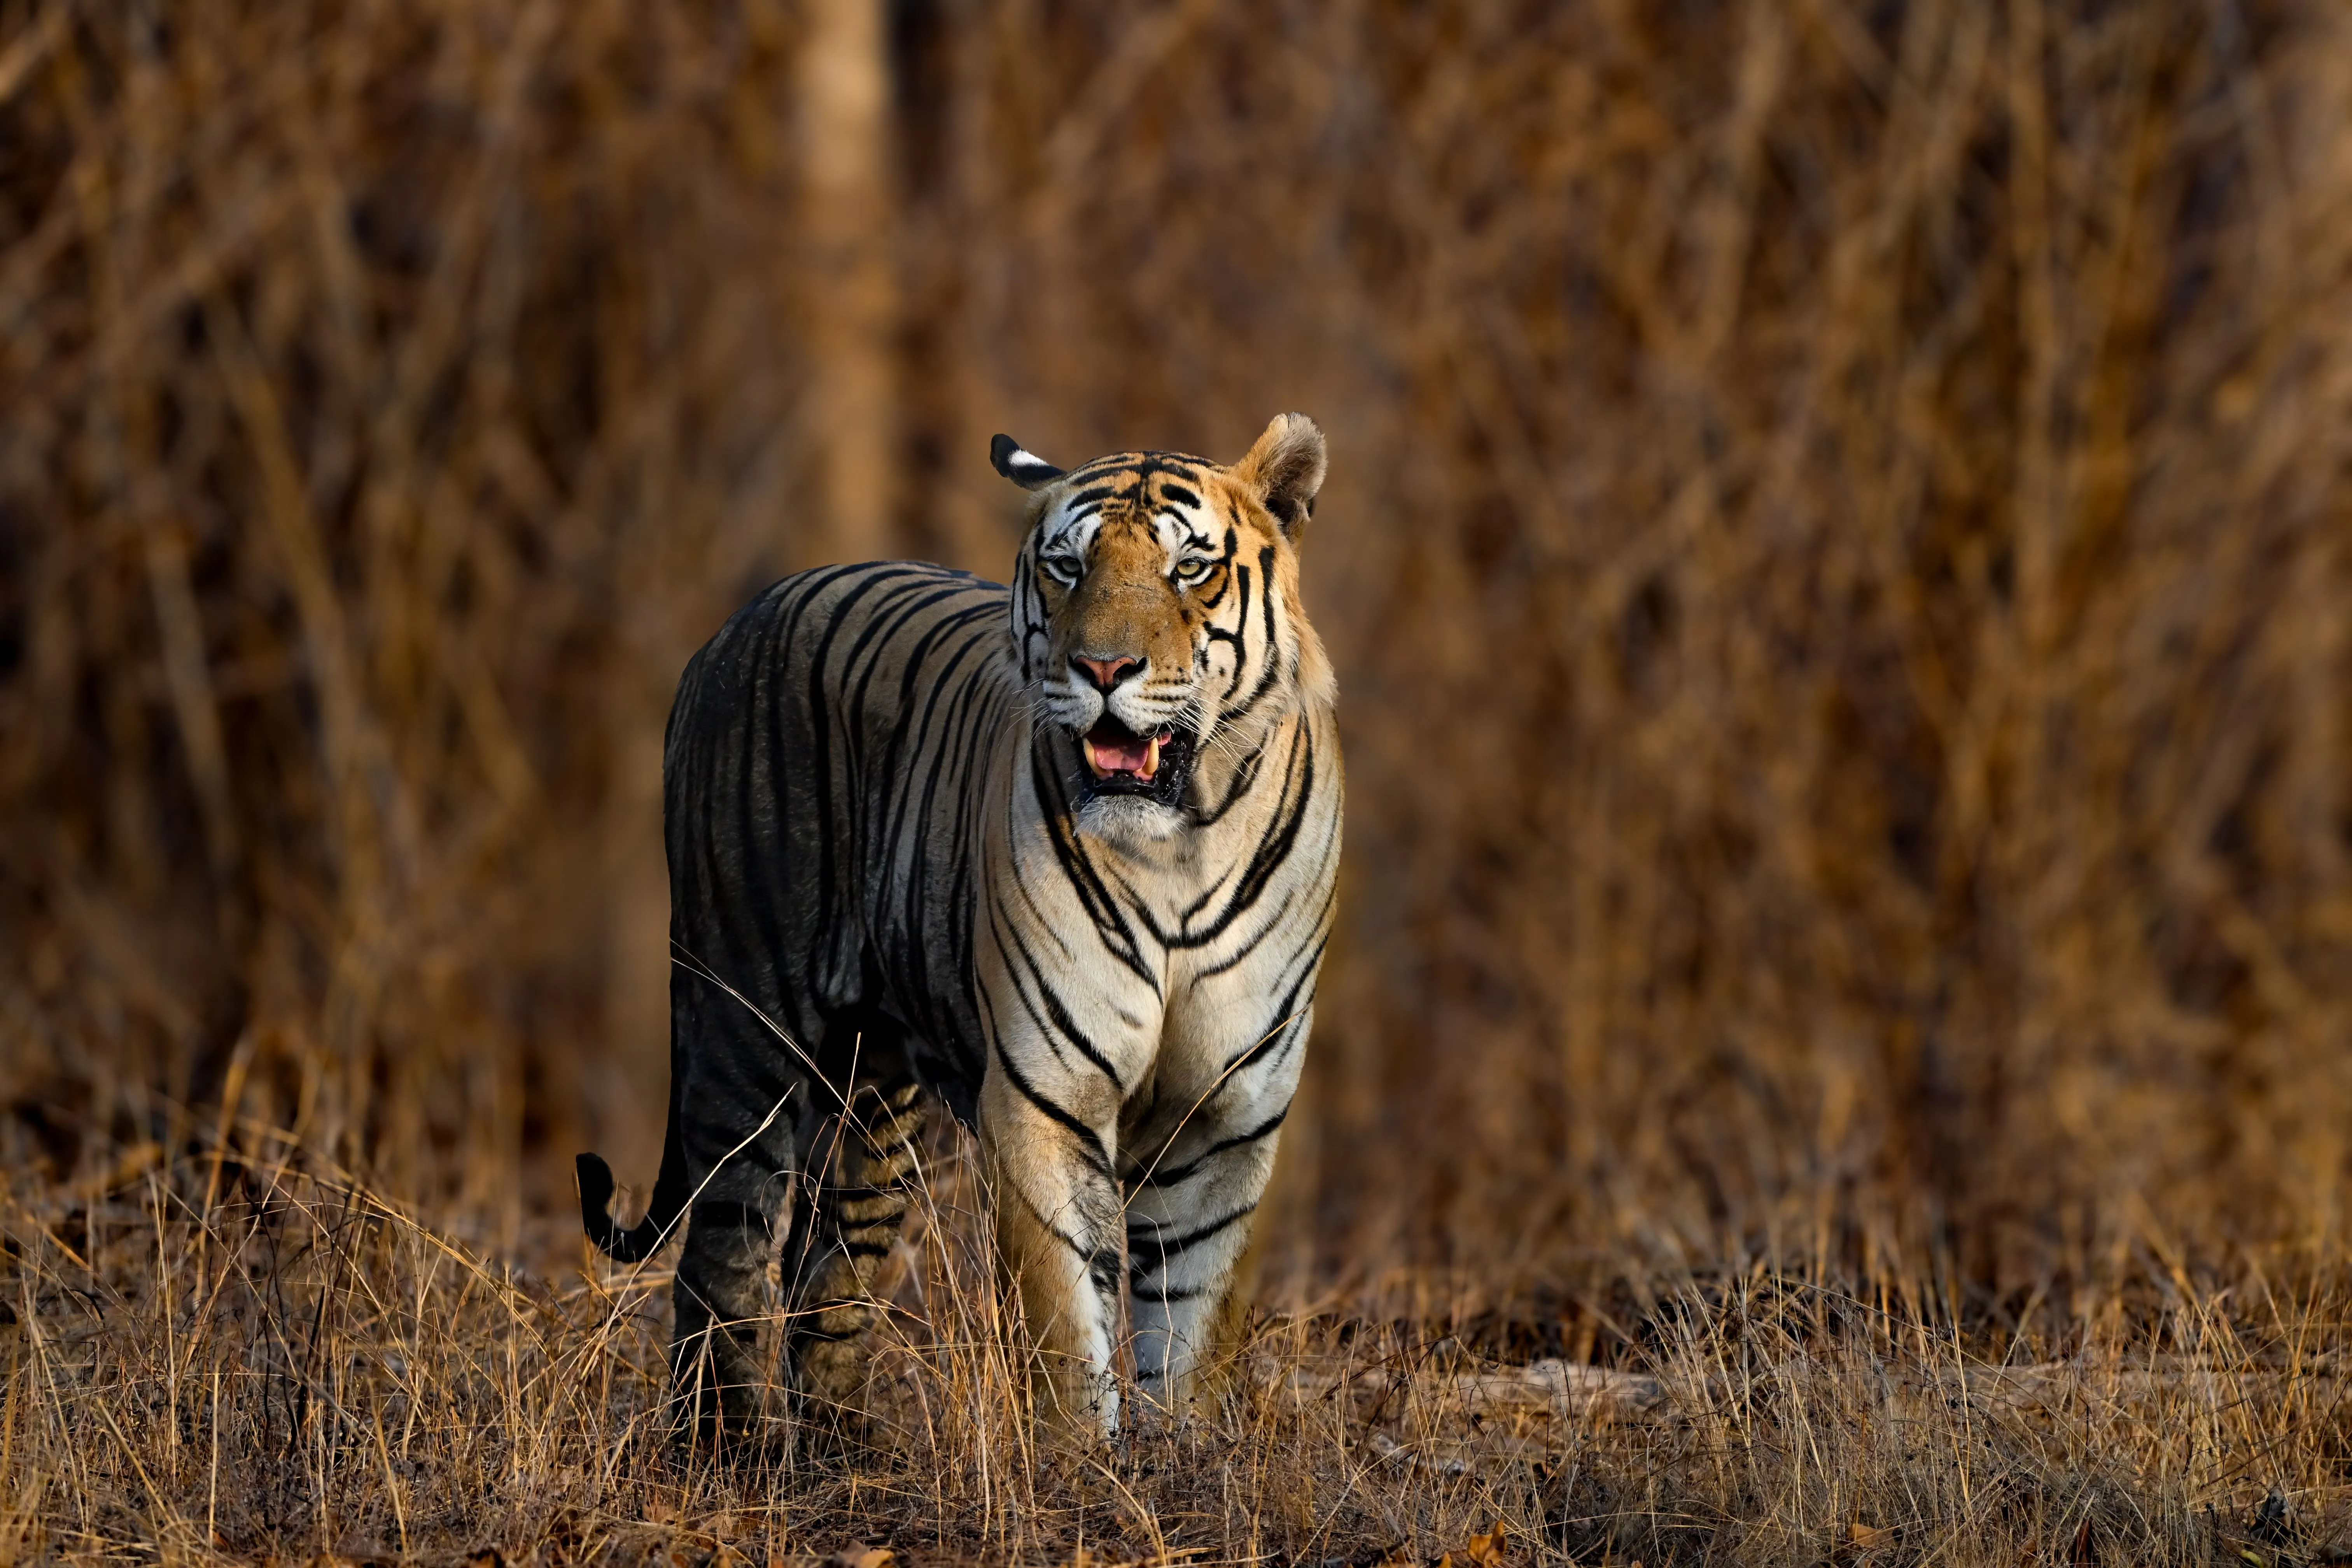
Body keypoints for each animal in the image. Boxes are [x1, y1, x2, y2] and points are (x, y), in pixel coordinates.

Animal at [575, 413, 1341, 1440]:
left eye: (1189, 569)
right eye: (1068, 568)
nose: (1103, 670)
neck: (1181, 843)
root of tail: (744, 616)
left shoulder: (1226, 1119)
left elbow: (1188, 1335)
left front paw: (1184, 1460)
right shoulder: (1044, 1100)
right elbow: (1068, 1332)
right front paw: (1081, 1469)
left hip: (868, 1097)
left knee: (829, 1270)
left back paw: (836, 1454)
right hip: (744, 1021)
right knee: (722, 1251)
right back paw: (721, 1450)